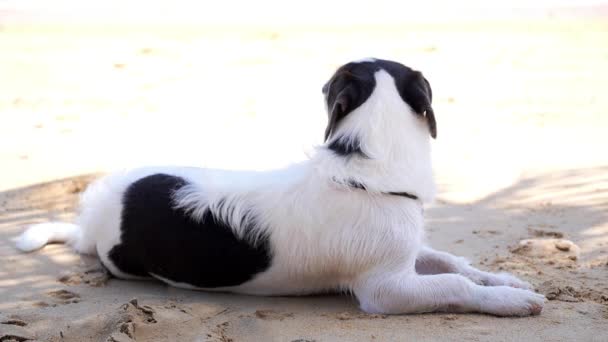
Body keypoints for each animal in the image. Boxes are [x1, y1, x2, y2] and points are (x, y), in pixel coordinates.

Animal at [15, 58, 548, 316]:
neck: (363, 167)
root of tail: (95, 218)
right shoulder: (385, 288)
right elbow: (452, 282)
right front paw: (510, 302)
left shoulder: (407, 252)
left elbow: (453, 263)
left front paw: (506, 281)